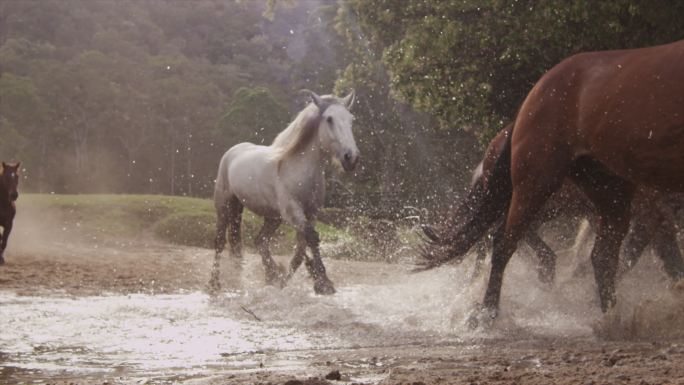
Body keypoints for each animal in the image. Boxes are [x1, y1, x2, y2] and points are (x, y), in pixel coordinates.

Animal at [210, 90, 358, 294]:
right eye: (329, 119)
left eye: (351, 119)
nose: (351, 157)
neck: (298, 169)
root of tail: (233, 151)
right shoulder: (293, 211)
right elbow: (312, 238)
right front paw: (323, 282)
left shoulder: (311, 213)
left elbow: (301, 250)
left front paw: (285, 279)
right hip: (224, 206)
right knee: (219, 243)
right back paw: (215, 284)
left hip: (272, 217)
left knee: (260, 241)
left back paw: (271, 274)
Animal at [420, 39, 684, 326]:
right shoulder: (652, 209)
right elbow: (653, 255)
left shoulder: (653, 210)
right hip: (536, 185)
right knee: (503, 242)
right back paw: (486, 313)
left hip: (605, 194)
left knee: (599, 256)